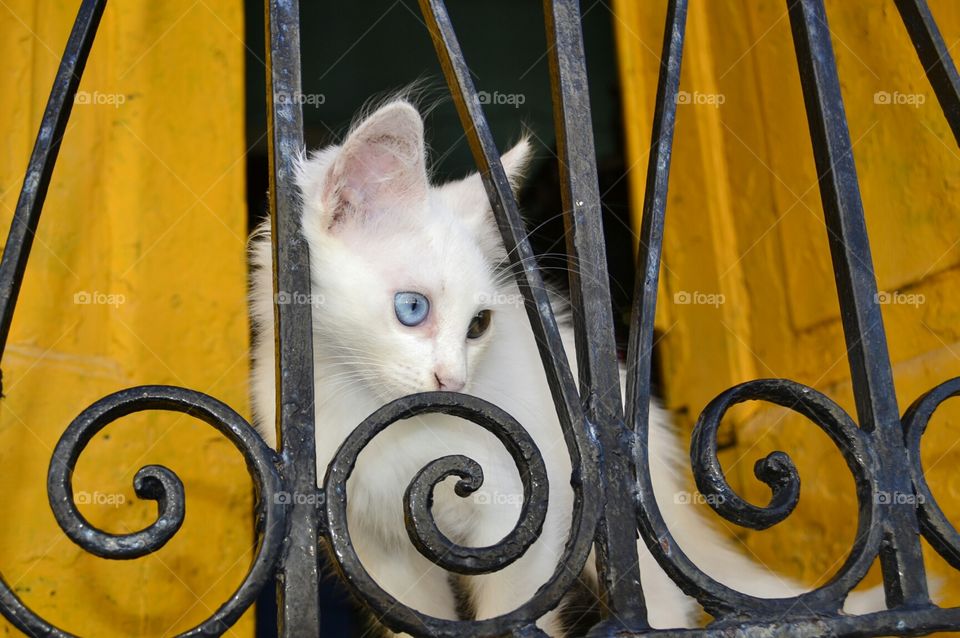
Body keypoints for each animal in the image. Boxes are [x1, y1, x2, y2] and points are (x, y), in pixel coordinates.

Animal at [249, 99, 884, 636]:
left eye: (478, 326)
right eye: (412, 309)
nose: (454, 382)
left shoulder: (519, 513)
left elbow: (510, 612)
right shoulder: (376, 549)